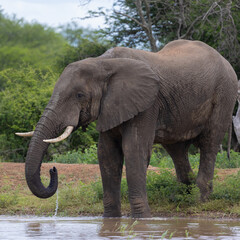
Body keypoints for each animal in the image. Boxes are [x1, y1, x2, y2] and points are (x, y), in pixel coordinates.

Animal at [16, 39, 238, 218]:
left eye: (79, 95)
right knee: (176, 149)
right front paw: (110, 219)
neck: (103, 64)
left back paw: (199, 199)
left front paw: (142, 219)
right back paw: (182, 196)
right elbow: (107, 155)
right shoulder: (110, 106)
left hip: (225, 94)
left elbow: (134, 150)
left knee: (209, 143)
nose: (52, 169)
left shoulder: (147, 104)